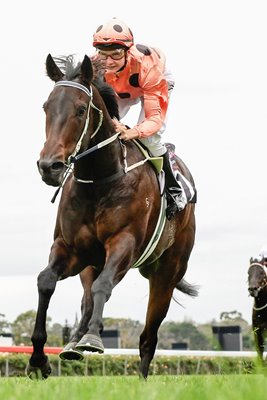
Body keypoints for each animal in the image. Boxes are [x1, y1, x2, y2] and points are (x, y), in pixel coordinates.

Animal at [26, 54, 199, 380]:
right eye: (46, 107)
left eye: (81, 110)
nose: (49, 166)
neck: (99, 179)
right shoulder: (71, 249)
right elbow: (46, 281)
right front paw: (38, 360)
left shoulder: (125, 244)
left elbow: (104, 286)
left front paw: (92, 339)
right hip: (90, 264)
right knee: (86, 298)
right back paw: (73, 342)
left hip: (167, 272)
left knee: (148, 336)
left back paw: (141, 377)